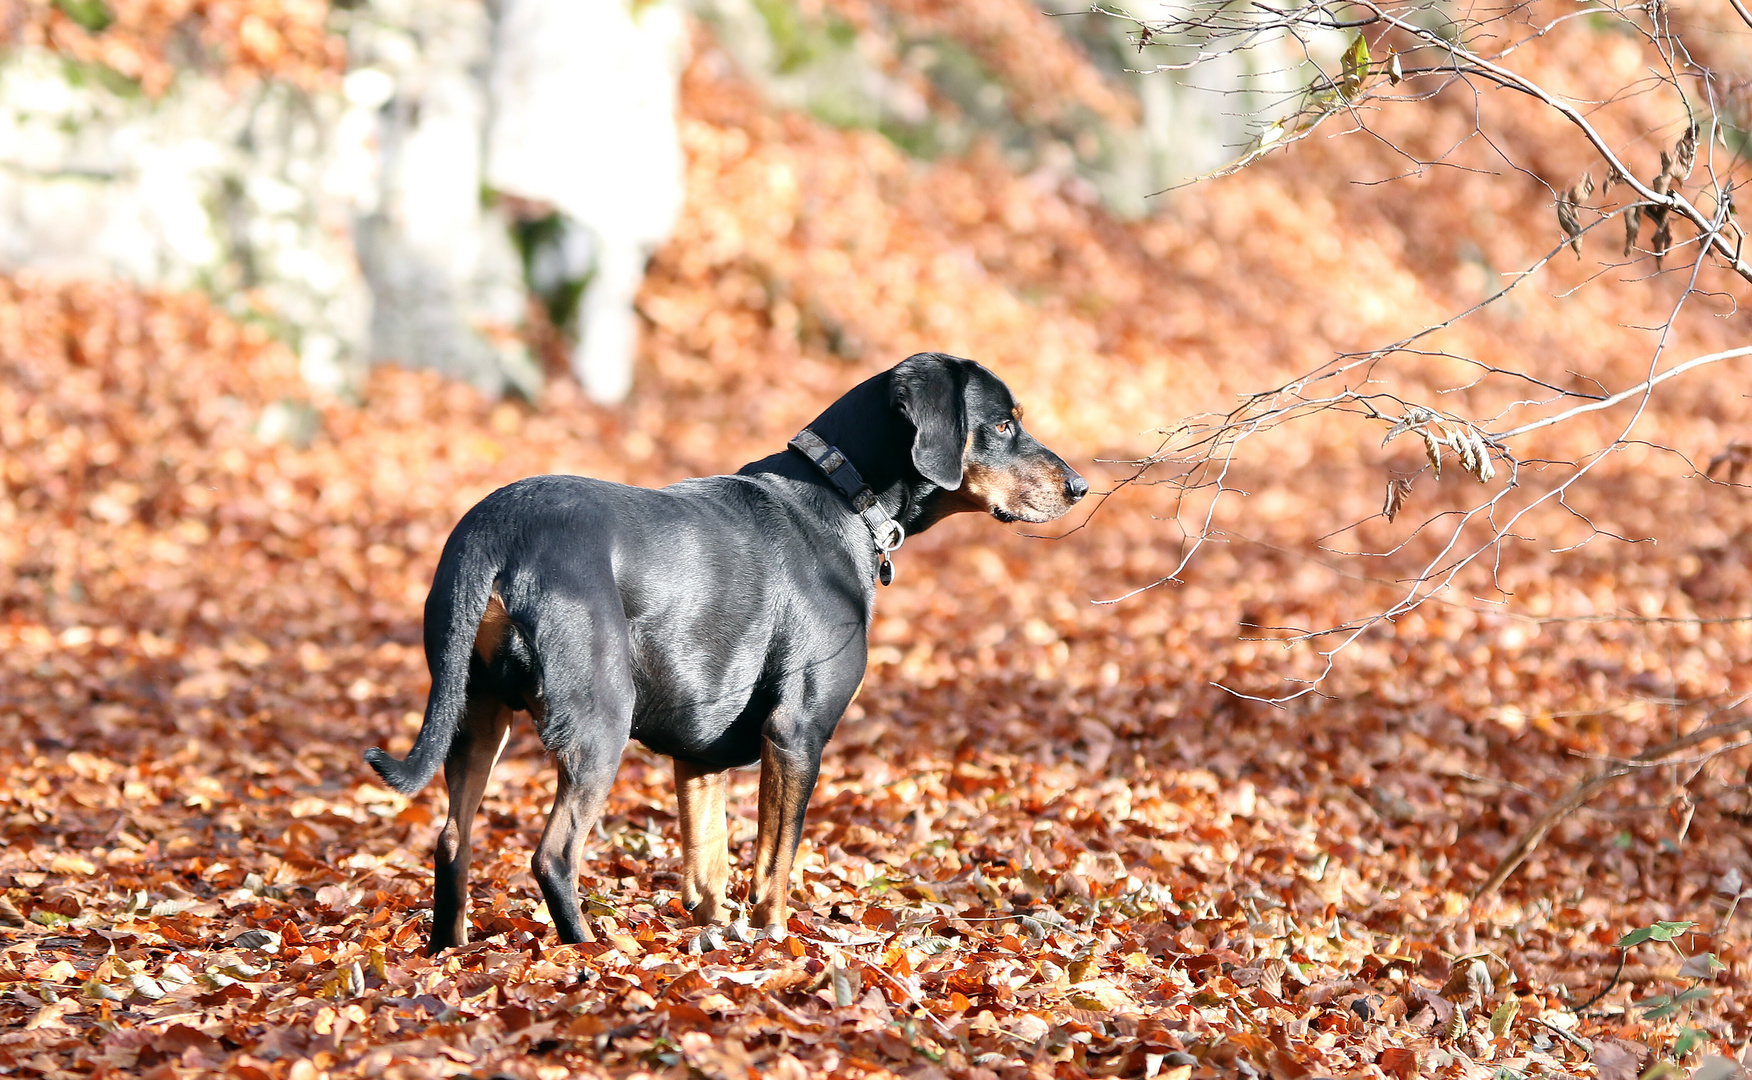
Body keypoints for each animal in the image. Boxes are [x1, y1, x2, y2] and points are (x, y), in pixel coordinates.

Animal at [366, 350, 1079, 946]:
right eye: (1004, 424)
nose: (1077, 486)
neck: (845, 499)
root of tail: (493, 534)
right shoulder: (796, 733)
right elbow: (774, 862)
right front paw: (775, 941)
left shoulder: (700, 753)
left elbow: (707, 863)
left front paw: (713, 940)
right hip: (599, 720)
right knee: (553, 854)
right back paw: (593, 951)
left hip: (475, 715)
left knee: (451, 840)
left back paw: (450, 949)